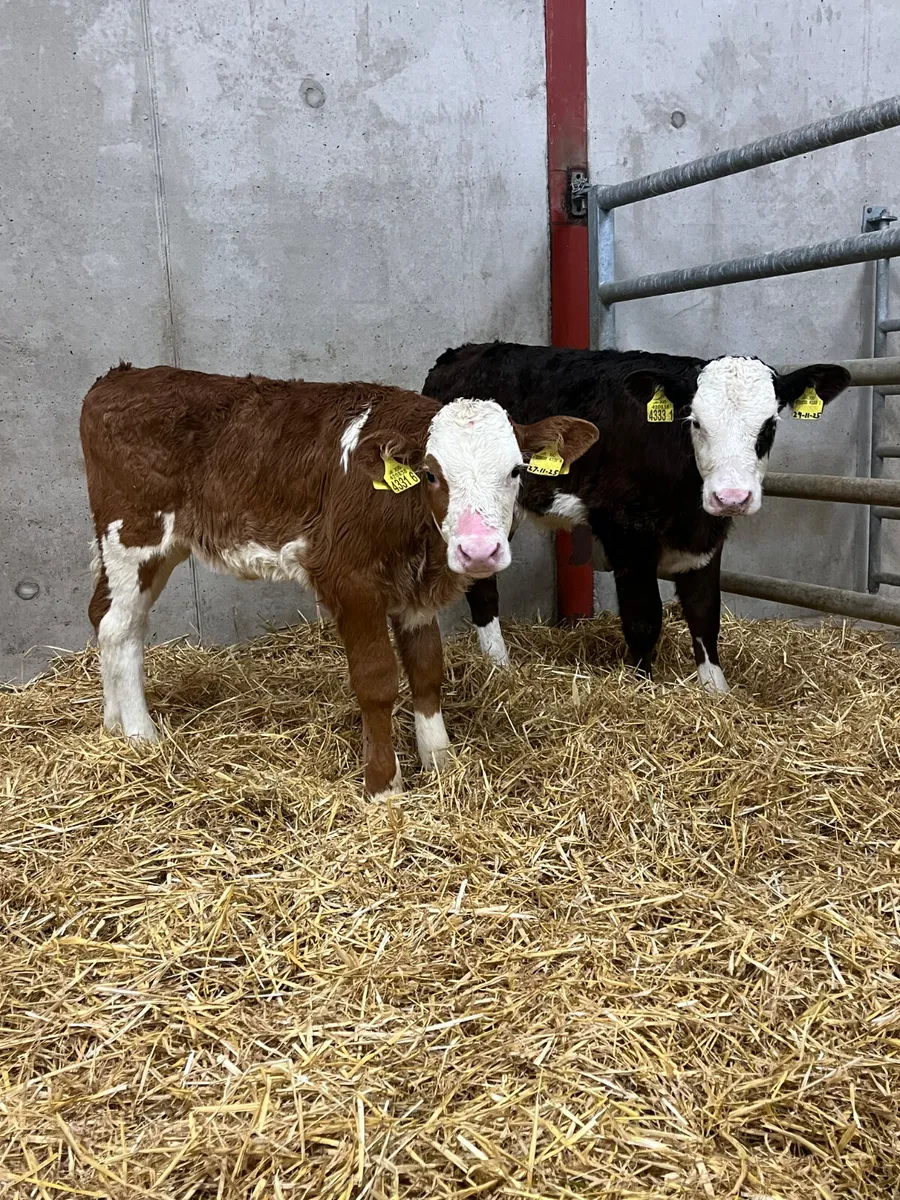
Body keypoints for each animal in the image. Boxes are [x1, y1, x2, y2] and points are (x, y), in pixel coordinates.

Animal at [80, 363, 598, 797]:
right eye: (431, 474)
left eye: (516, 470)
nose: (479, 550)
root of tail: (119, 376)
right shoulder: (350, 579)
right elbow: (377, 679)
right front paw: (384, 786)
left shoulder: (416, 593)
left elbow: (427, 670)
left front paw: (440, 763)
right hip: (133, 534)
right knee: (120, 628)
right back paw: (141, 736)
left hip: (156, 548)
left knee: (106, 616)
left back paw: (111, 724)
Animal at [423, 343, 851, 691]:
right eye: (696, 421)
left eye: (770, 425)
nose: (731, 496)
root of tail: (461, 352)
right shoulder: (624, 531)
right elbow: (644, 618)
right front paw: (643, 686)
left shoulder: (706, 538)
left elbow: (704, 613)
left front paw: (716, 691)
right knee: (481, 587)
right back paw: (499, 664)